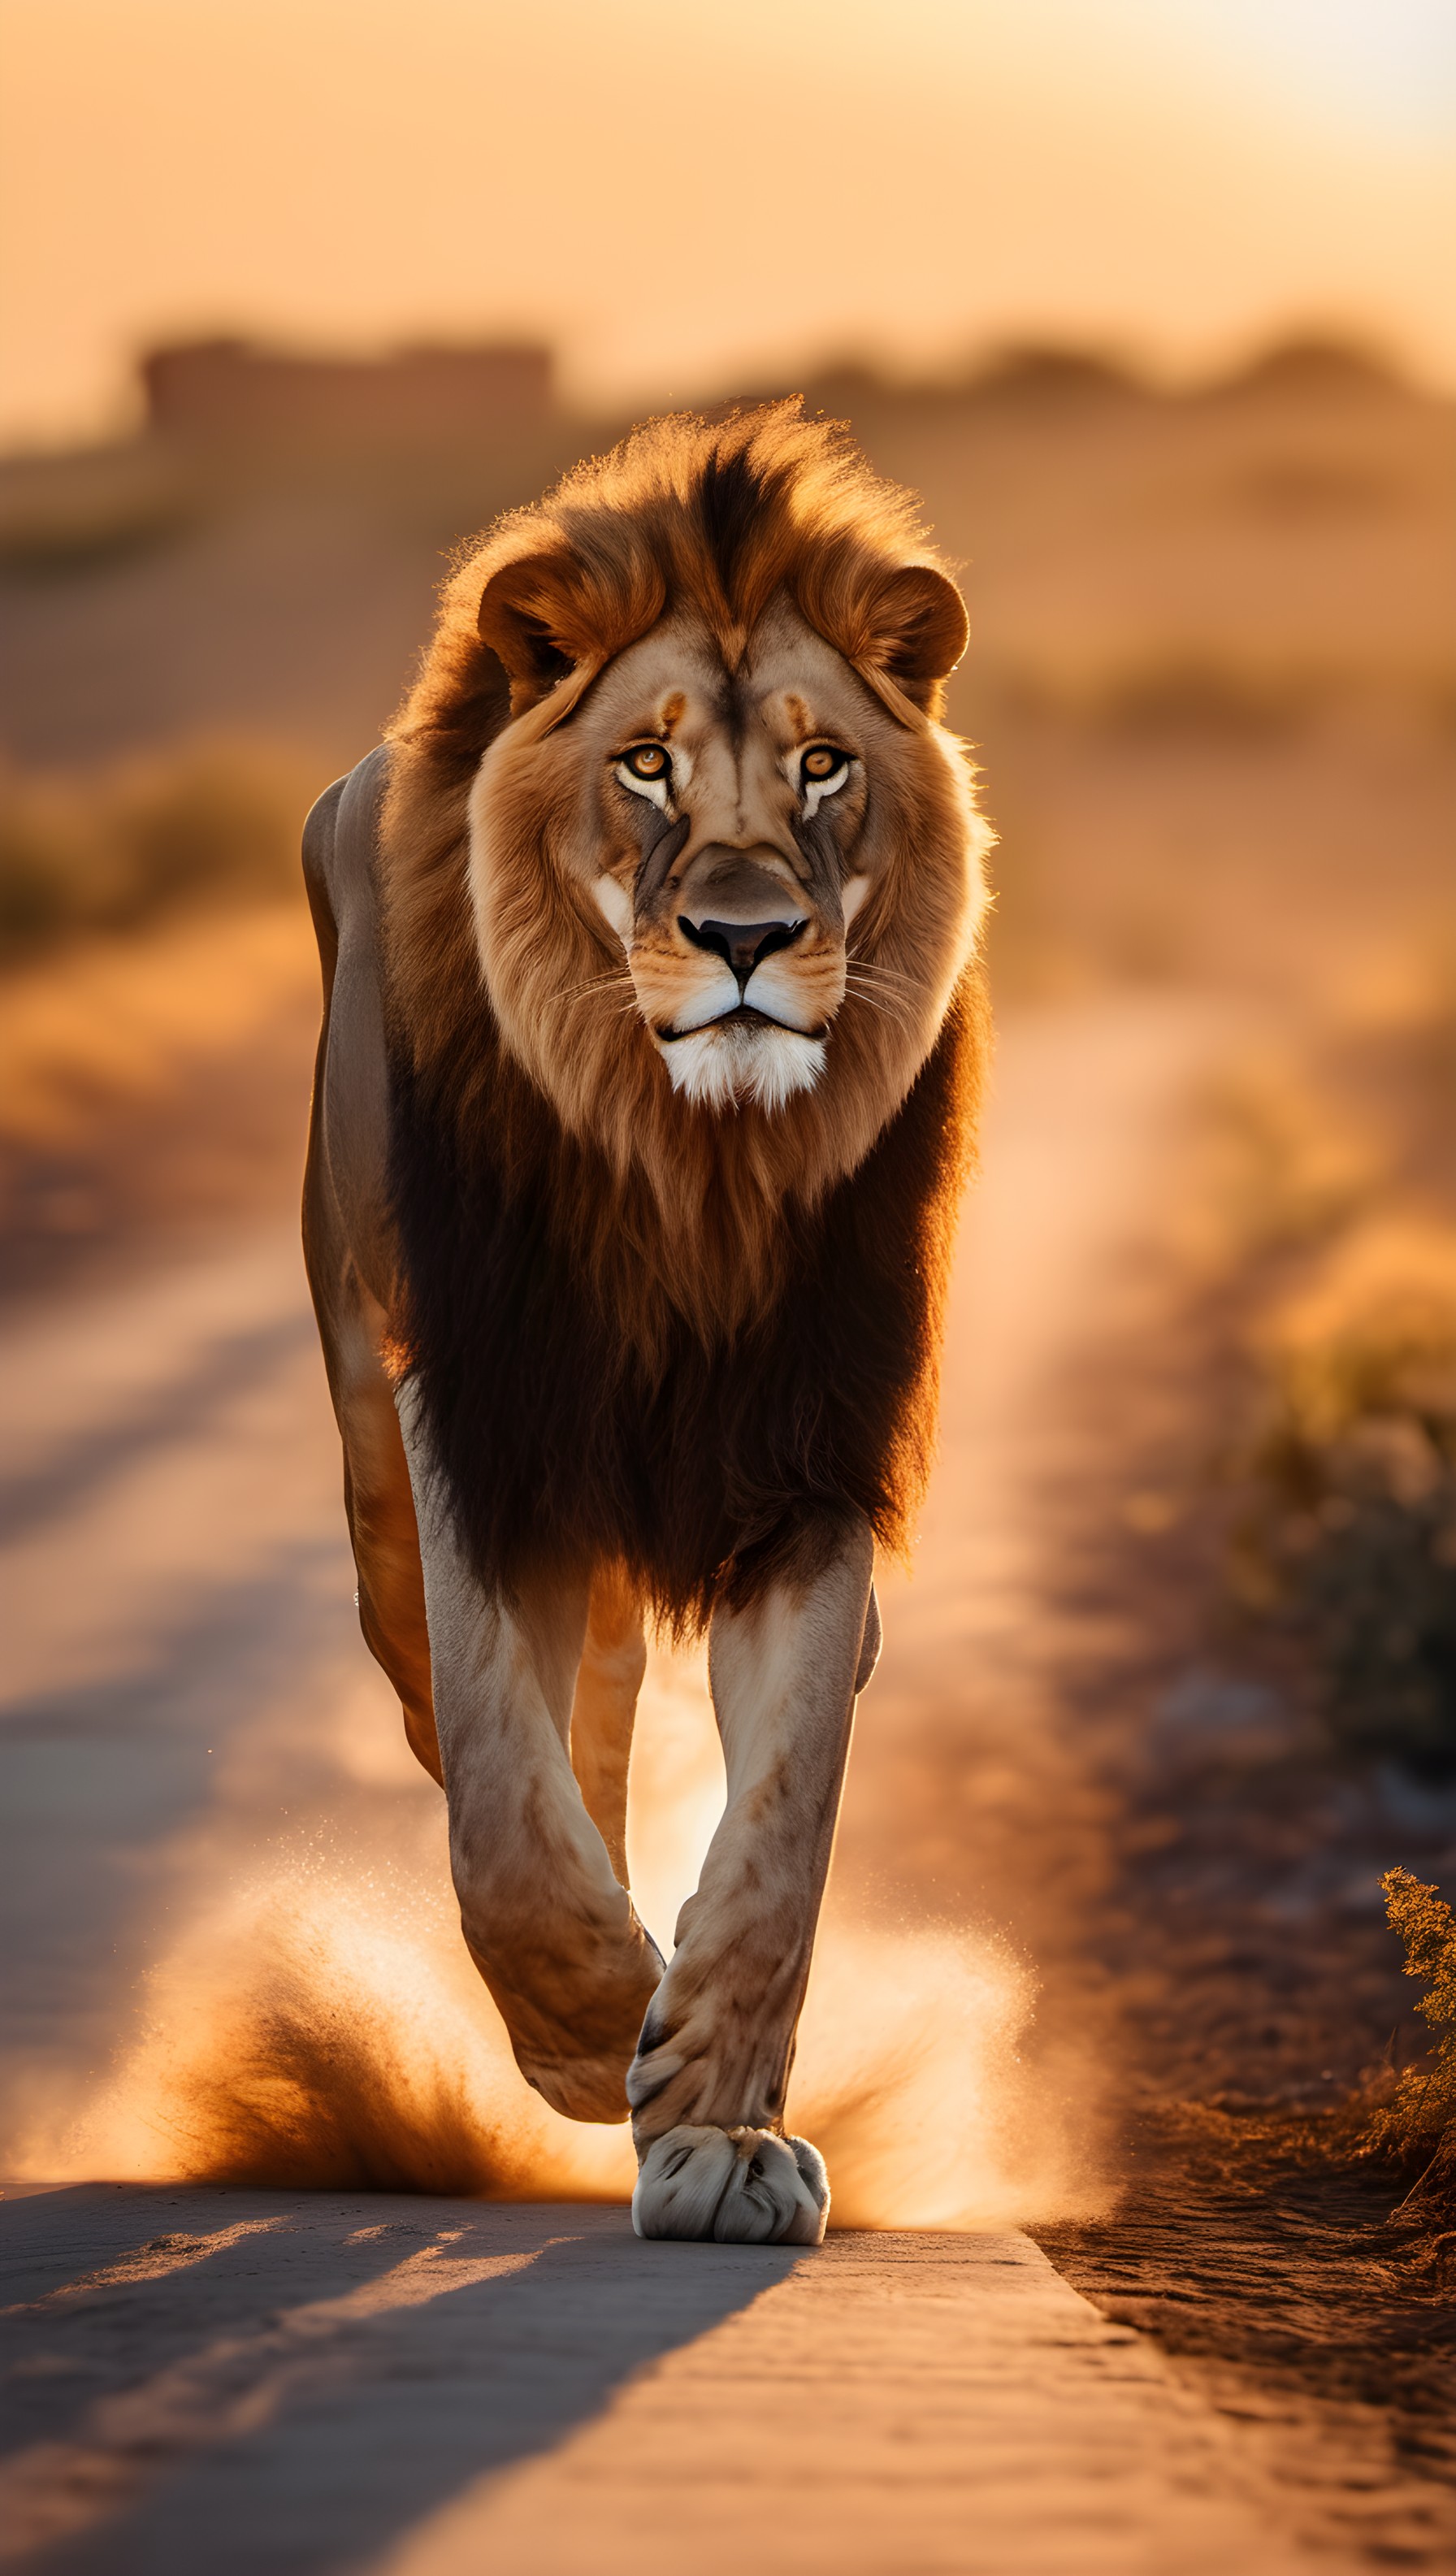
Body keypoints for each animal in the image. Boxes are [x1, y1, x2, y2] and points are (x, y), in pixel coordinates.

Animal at [302, 401, 992, 2244]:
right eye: (643, 766)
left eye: (823, 766)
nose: (746, 936)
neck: (691, 1172)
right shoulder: (478, 1425)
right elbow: (499, 1792)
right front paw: (597, 2024)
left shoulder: (812, 1456)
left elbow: (787, 1816)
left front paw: (716, 2120)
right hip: (369, 1424)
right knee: (460, 1709)